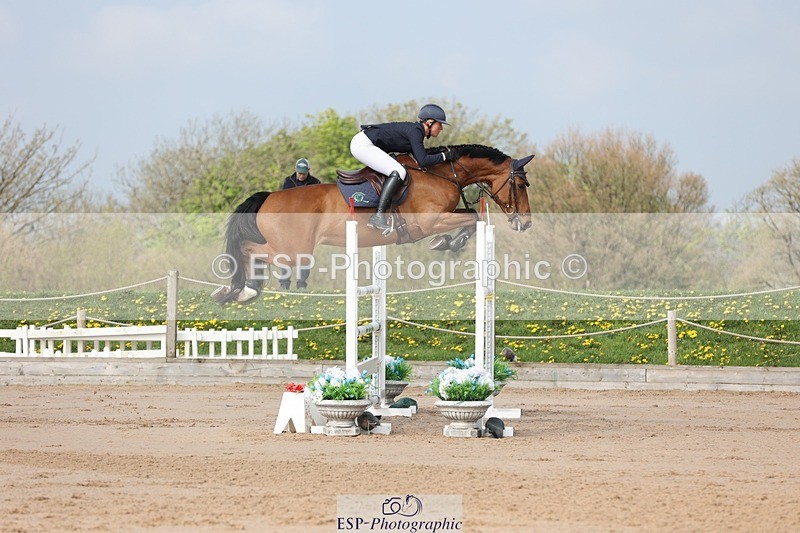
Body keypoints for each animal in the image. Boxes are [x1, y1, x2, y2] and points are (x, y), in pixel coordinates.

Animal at [214, 144, 534, 304]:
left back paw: (243, 291)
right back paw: (239, 290)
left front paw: (451, 241)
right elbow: (472, 217)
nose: (526, 223)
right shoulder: (429, 221)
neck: (442, 173)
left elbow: (472, 217)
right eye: (520, 184)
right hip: (294, 251)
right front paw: (446, 242)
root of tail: (269, 196)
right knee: (248, 249)